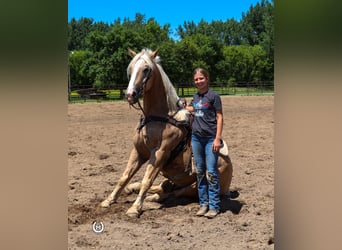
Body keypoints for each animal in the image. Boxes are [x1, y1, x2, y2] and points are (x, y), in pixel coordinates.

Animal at [99, 48, 232, 217]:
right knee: (163, 187)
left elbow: (147, 180)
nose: (130, 94)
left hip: (194, 187)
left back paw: (151, 198)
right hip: (173, 180)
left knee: (172, 193)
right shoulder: (138, 151)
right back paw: (133, 188)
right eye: (131, 68)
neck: (159, 118)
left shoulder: (160, 153)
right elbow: (124, 177)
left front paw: (135, 208)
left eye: (146, 69)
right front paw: (108, 200)